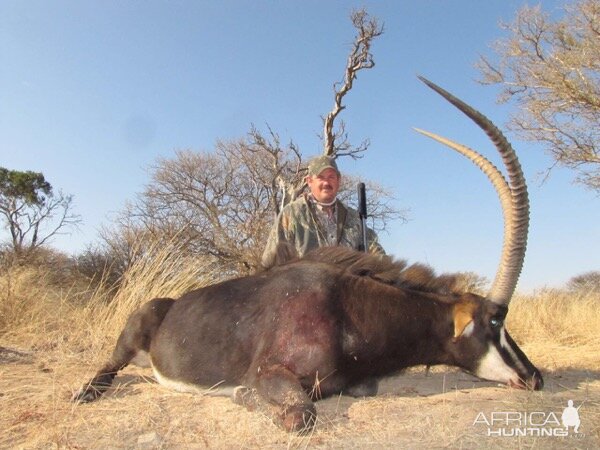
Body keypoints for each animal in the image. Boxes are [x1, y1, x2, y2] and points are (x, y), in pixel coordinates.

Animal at [74, 77, 544, 432]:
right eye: (495, 323)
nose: (534, 377)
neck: (348, 310)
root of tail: (167, 303)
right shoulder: (272, 373)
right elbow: (298, 414)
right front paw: (243, 396)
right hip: (129, 337)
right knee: (109, 366)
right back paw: (85, 392)